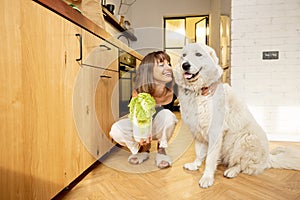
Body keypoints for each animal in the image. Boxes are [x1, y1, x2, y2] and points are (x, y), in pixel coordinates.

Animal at [173, 43, 300, 188]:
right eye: (184, 55)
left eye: (198, 54)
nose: (185, 65)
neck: (198, 92)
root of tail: (268, 158)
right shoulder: (197, 131)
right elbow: (199, 153)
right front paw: (195, 165)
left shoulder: (215, 132)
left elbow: (210, 159)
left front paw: (207, 178)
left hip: (245, 140)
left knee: (243, 165)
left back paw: (231, 171)